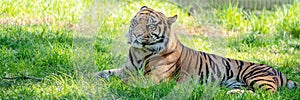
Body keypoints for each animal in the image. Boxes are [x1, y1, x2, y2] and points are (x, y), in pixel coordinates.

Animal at [95, 5, 296, 93]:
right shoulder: (125, 69)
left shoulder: (152, 78)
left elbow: (126, 81)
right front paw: (91, 77)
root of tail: (281, 72)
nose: (136, 35)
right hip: (236, 82)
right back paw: (233, 93)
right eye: (136, 22)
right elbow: (104, 73)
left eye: (150, 26)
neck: (140, 51)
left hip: (256, 77)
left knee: (267, 93)